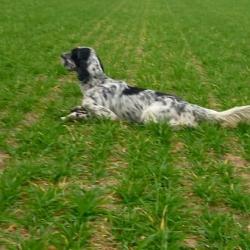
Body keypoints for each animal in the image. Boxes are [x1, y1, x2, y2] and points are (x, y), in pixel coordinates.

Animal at [60, 47, 250, 128]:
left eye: (73, 53)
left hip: (149, 115)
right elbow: (80, 111)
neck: (97, 82)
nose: (61, 55)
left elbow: (89, 105)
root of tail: (188, 105)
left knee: (187, 125)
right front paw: (72, 114)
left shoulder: (108, 114)